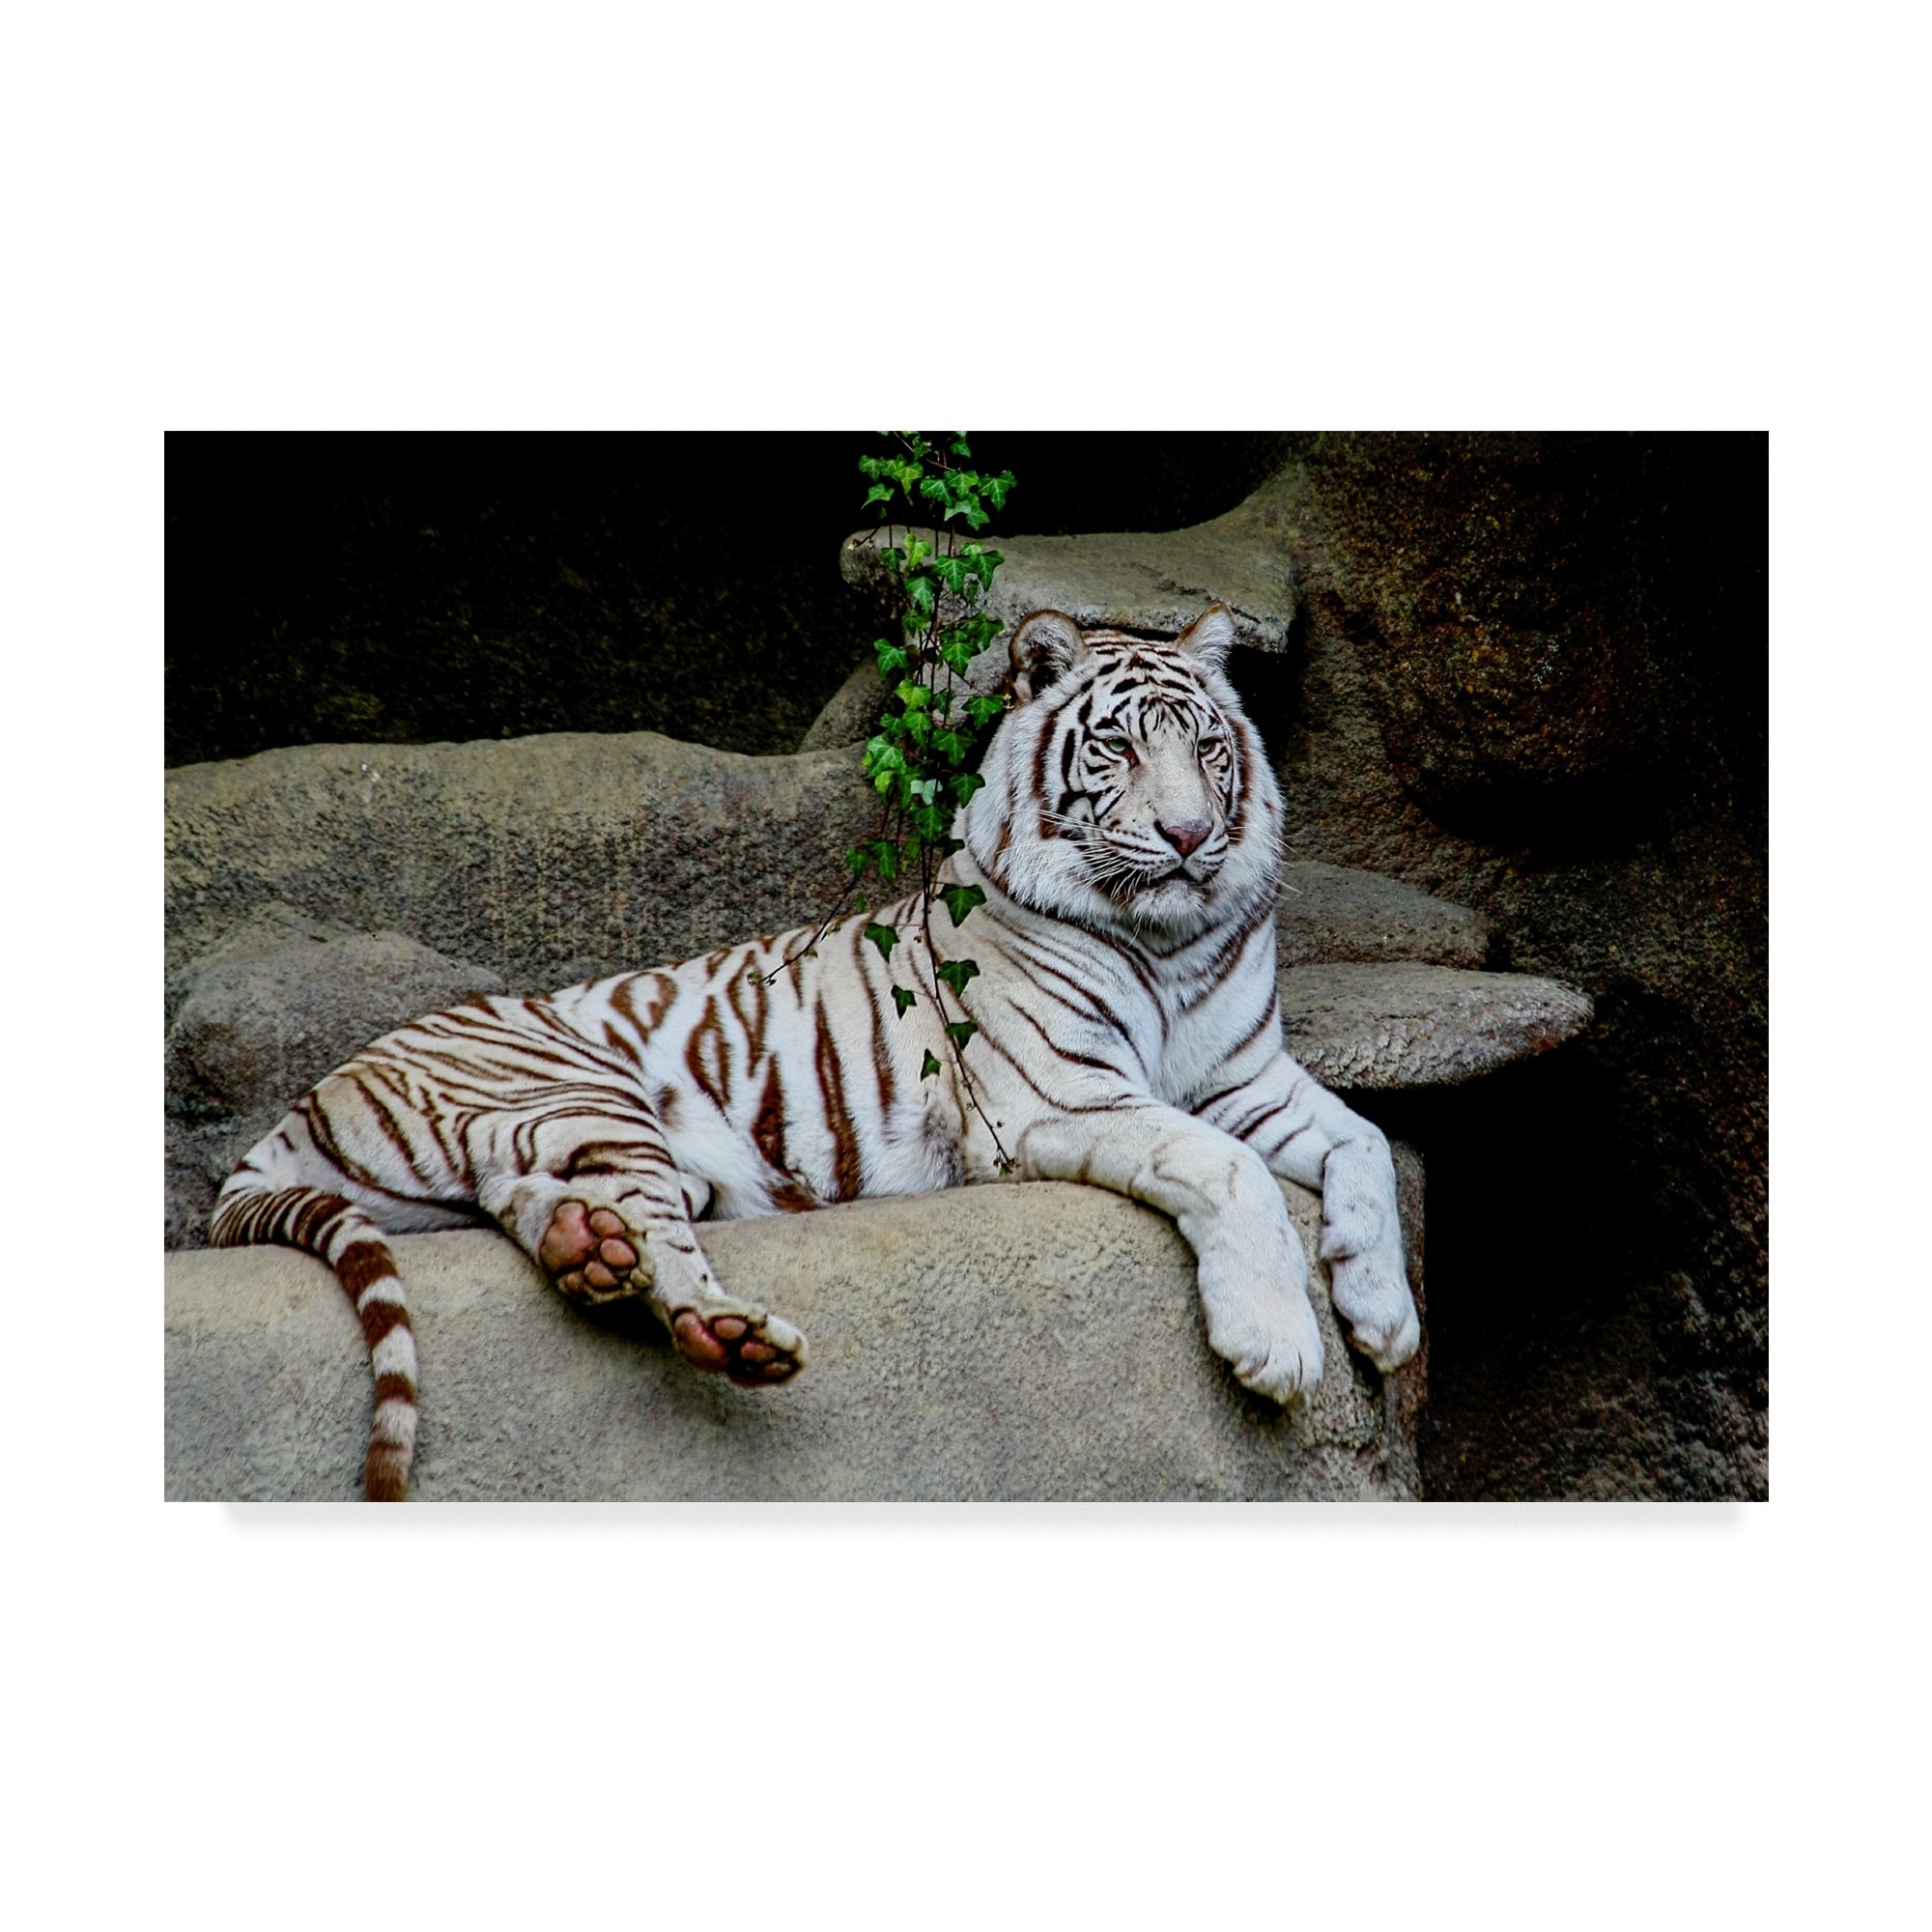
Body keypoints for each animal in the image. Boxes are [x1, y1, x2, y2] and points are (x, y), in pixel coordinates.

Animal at [211, 603, 1422, 1499]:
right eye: (1120, 745)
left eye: (1206, 746)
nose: (1185, 835)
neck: (1169, 938)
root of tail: (302, 1102)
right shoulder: (1064, 1092)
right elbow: (1231, 1169)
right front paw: (1279, 1343)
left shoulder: (1245, 1075)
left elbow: (1362, 1140)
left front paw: (1384, 1315)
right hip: (588, 1095)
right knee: (664, 1255)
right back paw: (725, 1328)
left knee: (533, 1203)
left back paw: (582, 1247)